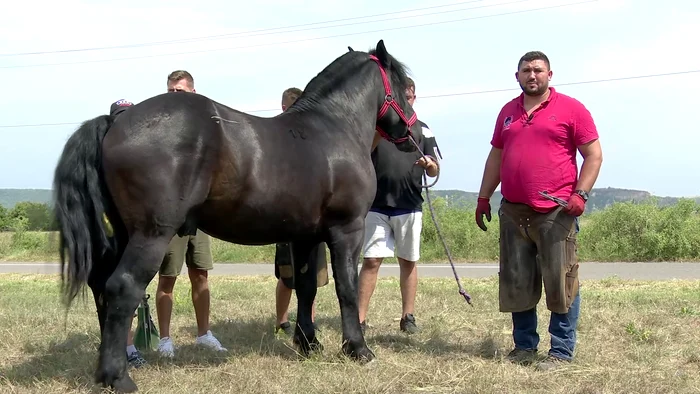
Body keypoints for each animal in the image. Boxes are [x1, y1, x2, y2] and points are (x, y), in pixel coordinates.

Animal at [53, 39, 422, 390]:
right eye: (404, 86)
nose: (412, 132)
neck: (333, 128)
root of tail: (116, 120)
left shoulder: (305, 236)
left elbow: (305, 288)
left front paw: (308, 343)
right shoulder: (347, 230)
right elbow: (347, 287)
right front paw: (358, 349)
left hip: (125, 232)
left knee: (102, 286)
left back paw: (108, 369)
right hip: (151, 235)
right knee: (123, 287)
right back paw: (119, 378)